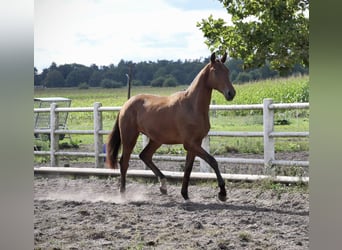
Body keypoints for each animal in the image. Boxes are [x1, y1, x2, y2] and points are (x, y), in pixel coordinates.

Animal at [107, 52, 235, 201]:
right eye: (215, 71)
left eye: (227, 71)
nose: (231, 93)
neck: (192, 106)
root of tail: (125, 105)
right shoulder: (190, 144)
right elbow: (212, 161)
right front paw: (222, 193)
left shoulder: (194, 145)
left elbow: (188, 168)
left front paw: (185, 194)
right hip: (130, 137)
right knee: (124, 162)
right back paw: (123, 194)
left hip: (156, 140)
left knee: (145, 156)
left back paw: (163, 185)